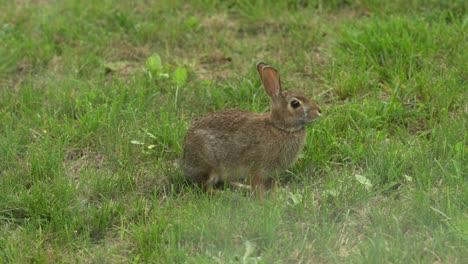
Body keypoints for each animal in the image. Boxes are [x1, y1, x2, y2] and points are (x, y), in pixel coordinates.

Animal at [183, 62, 322, 198]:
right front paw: (262, 201)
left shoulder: (273, 173)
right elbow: (257, 186)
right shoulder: (257, 169)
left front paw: (277, 196)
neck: (280, 127)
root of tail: (185, 157)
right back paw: (228, 195)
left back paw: (242, 188)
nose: (319, 111)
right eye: (295, 104)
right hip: (209, 166)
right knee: (205, 188)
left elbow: (273, 186)